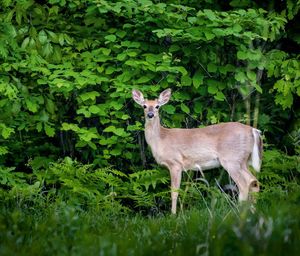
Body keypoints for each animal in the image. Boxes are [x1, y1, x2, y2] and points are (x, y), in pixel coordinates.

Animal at [132, 88, 262, 214]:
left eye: (157, 106)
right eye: (144, 106)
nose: (150, 114)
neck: (161, 139)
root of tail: (253, 130)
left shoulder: (175, 163)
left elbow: (174, 192)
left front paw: (173, 215)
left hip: (231, 159)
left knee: (244, 184)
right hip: (243, 160)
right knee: (253, 181)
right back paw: (252, 212)